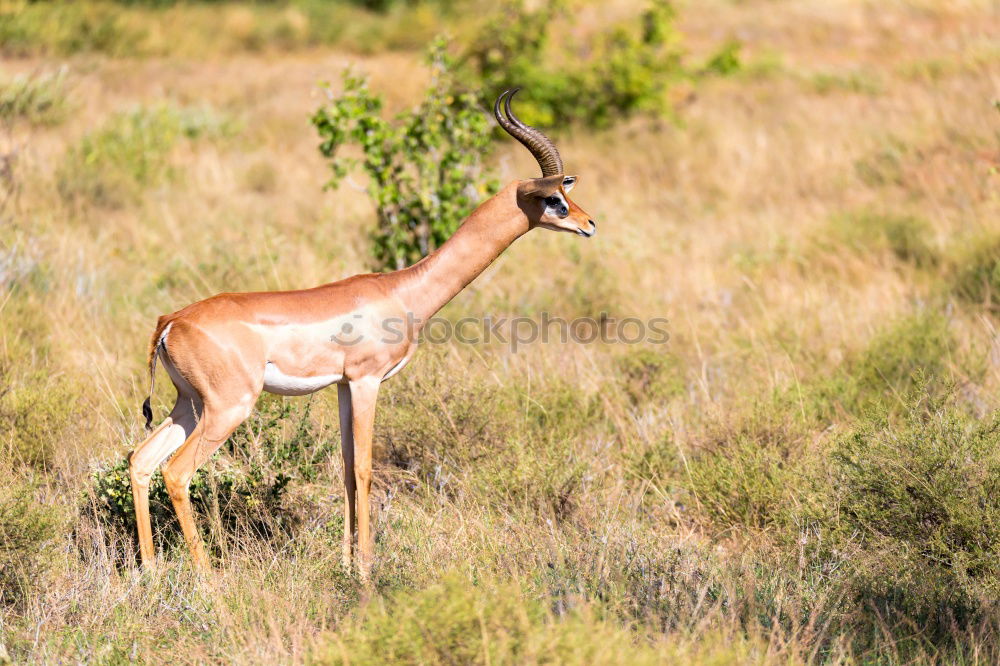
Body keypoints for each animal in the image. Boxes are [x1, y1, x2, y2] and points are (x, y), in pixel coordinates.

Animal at [125, 88, 592, 576]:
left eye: (566, 193)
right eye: (554, 199)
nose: (589, 224)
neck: (401, 290)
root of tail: (172, 321)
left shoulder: (344, 386)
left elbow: (348, 469)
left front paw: (348, 563)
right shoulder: (368, 380)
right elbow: (368, 469)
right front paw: (367, 567)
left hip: (189, 404)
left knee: (140, 460)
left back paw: (151, 571)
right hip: (227, 407)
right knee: (176, 472)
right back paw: (208, 576)